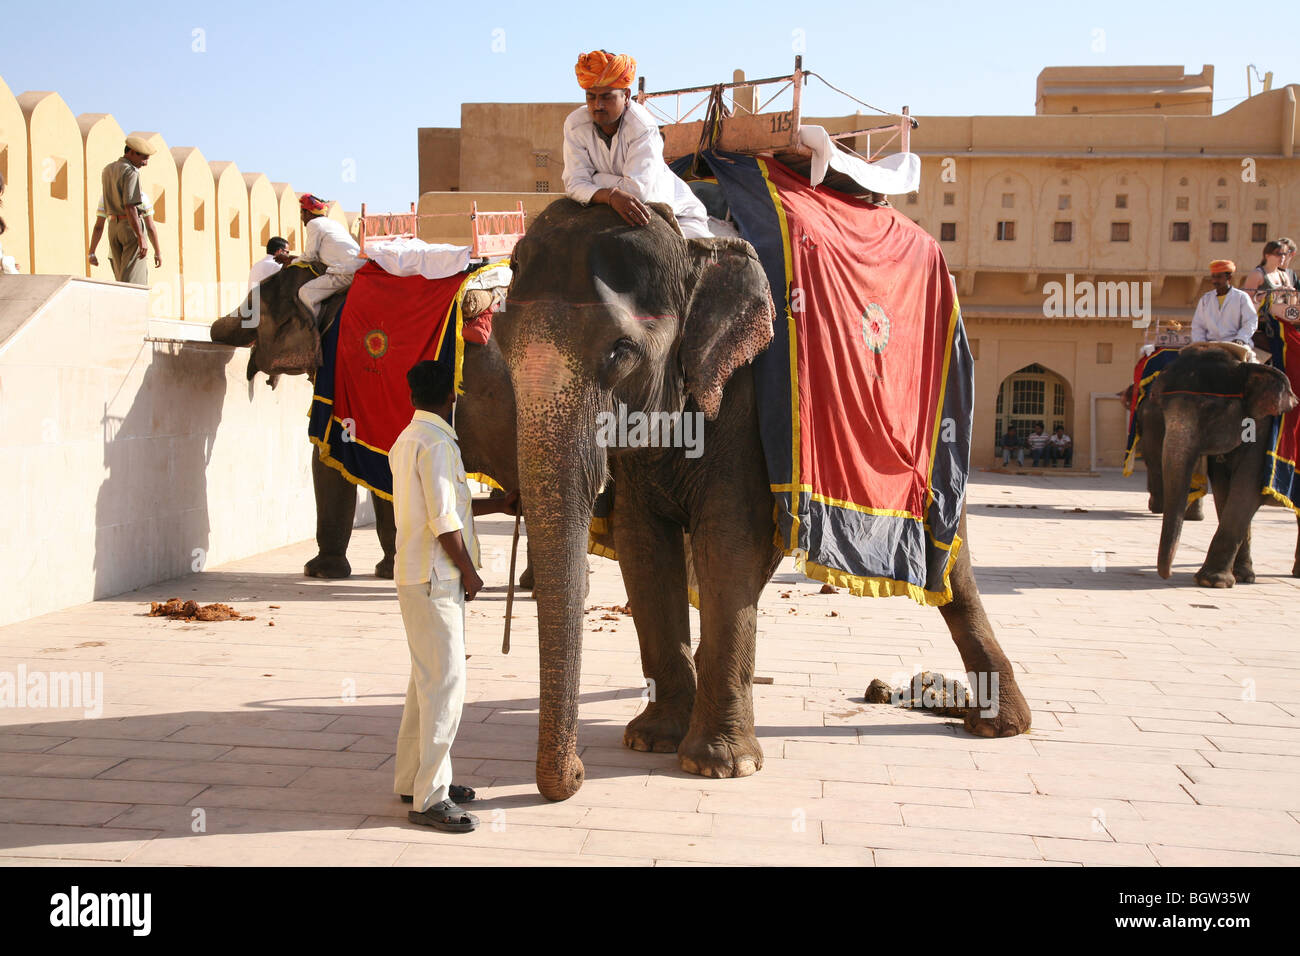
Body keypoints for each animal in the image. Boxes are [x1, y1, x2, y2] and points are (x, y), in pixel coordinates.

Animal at [491, 200, 1029, 801]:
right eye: (501, 344)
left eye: (621, 351)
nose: (579, 774)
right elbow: (643, 545)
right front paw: (652, 739)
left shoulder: (748, 401)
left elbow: (727, 538)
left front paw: (719, 765)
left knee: (951, 563)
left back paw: (999, 726)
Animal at [1138, 340, 1300, 587]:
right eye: (1162, 407)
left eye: (1211, 410)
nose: (1168, 575)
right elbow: (1224, 492)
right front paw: (1242, 576)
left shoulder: (1263, 432)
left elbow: (1246, 490)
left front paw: (1212, 581)